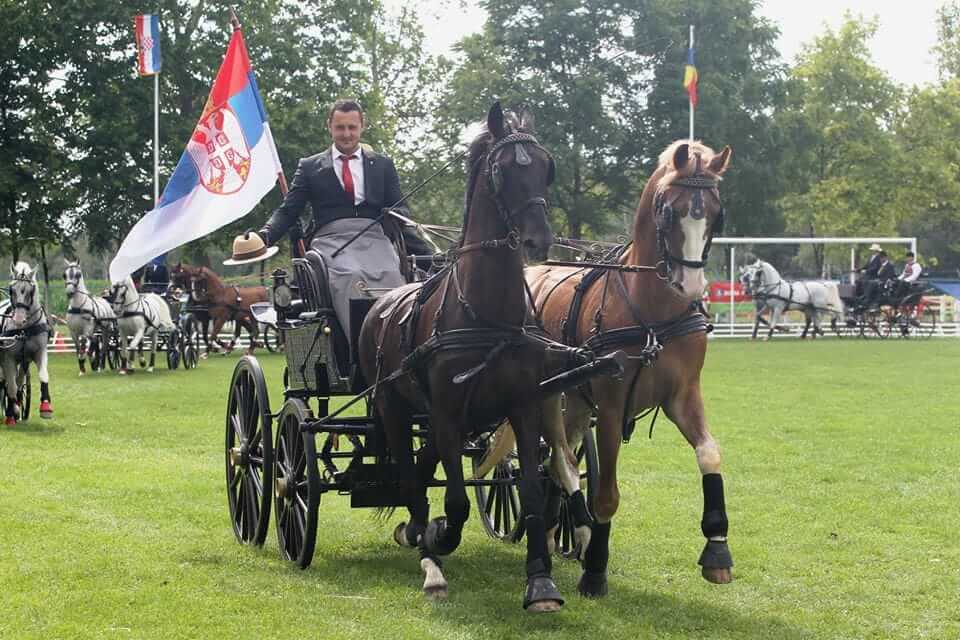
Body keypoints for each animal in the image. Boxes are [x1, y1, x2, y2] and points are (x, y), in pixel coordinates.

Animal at [358, 102, 568, 612]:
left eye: (546, 167)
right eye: (502, 170)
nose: (537, 241)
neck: (487, 314)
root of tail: (378, 303)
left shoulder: (523, 407)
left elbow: (532, 492)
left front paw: (540, 581)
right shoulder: (448, 412)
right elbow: (454, 502)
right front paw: (436, 541)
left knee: (422, 466)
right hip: (394, 407)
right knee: (411, 477)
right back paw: (424, 545)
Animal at [520, 139, 732, 596]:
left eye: (716, 211)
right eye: (668, 210)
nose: (692, 287)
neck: (653, 312)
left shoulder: (683, 396)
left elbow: (709, 453)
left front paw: (718, 549)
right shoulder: (612, 407)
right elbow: (607, 495)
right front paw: (595, 570)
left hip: (577, 402)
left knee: (559, 460)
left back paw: (557, 529)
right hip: (550, 398)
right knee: (560, 459)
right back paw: (578, 531)